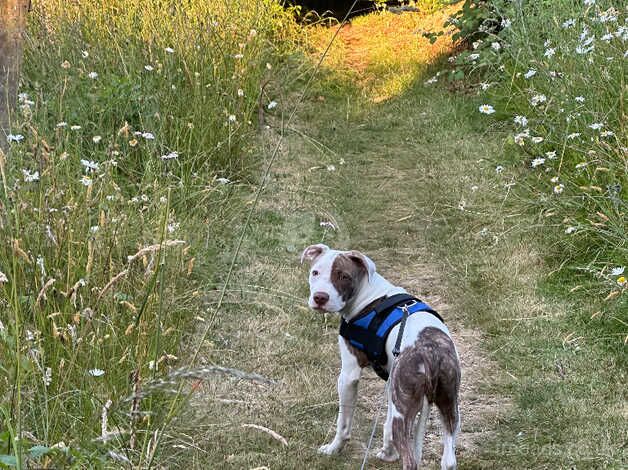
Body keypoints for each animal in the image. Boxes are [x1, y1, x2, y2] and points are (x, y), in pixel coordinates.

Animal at [302, 244, 458, 470]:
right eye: (315, 272)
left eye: (344, 276)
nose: (320, 298)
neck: (368, 294)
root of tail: (432, 353)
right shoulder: (392, 382)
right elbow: (386, 422)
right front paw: (387, 453)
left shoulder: (348, 375)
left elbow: (343, 423)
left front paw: (333, 449)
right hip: (448, 403)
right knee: (449, 459)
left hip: (404, 412)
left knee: (410, 460)